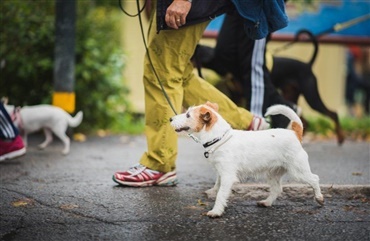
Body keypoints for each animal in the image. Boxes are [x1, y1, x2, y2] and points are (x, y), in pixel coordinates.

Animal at [171, 101, 324, 218]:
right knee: (277, 189)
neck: (219, 138)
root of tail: (294, 133)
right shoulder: (221, 173)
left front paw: (216, 211)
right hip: (272, 173)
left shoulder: (227, 175)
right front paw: (215, 197)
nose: (170, 119)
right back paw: (266, 202)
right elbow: (218, 187)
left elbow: (221, 194)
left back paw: (319, 198)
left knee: (314, 179)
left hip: (298, 171)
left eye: (188, 115)